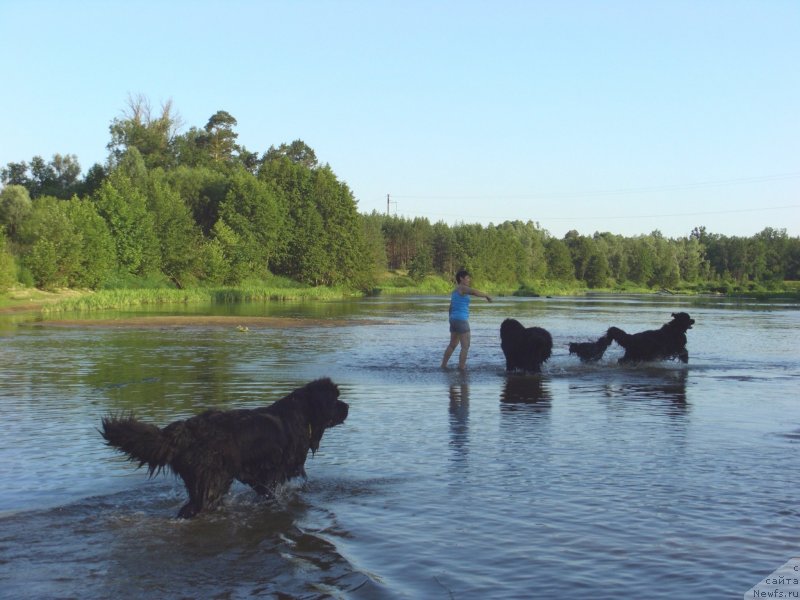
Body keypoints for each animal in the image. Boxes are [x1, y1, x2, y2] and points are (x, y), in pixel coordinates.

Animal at [100, 378, 346, 516]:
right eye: (335, 400)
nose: (348, 406)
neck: (303, 414)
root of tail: (185, 431)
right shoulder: (274, 473)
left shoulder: (259, 475)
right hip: (213, 481)